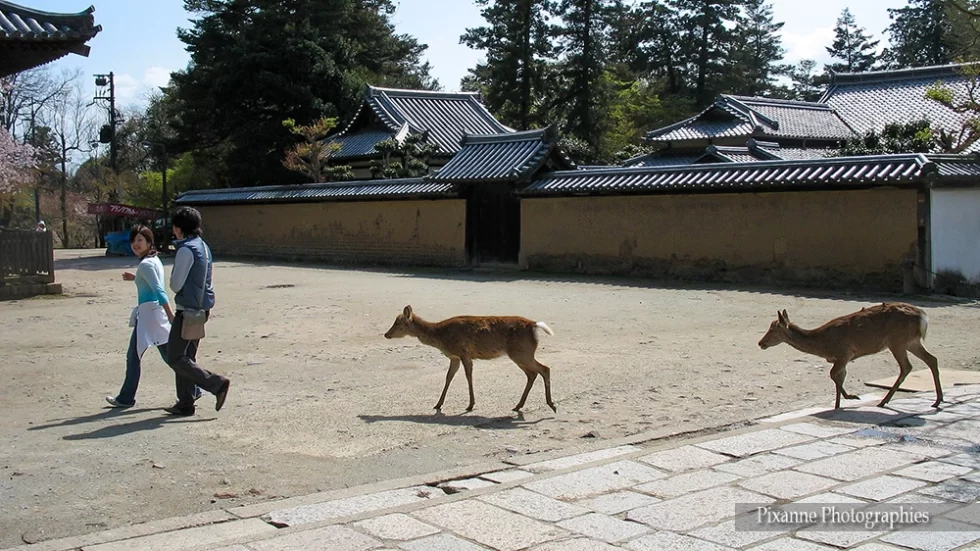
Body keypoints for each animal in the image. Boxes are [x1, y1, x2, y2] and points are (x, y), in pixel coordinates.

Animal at [384, 305, 557, 413]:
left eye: (397, 323)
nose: (386, 334)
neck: (440, 335)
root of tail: (534, 325)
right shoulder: (454, 357)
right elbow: (449, 377)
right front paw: (438, 404)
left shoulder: (464, 352)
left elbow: (468, 376)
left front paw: (470, 405)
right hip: (520, 354)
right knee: (532, 374)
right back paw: (518, 406)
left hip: (522, 352)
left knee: (544, 368)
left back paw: (551, 404)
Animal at [758, 302, 942, 410]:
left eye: (774, 328)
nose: (761, 343)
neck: (822, 344)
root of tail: (923, 318)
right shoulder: (842, 359)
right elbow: (841, 377)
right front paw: (841, 404)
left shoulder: (844, 353)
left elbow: (833, 375)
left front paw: (848, 399)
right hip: (911, 342)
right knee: (932, 359)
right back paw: (938, 400)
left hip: (897, 341)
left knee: (906, 367)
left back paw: (884, 401)